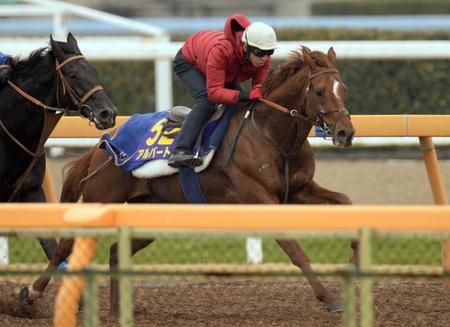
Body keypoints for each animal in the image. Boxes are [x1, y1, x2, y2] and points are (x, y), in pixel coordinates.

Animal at [24, 46, 356, 316]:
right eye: (319, 91)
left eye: (344, 89)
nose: (345, 133)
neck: (272, 135)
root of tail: (103, 144)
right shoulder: (261, 199)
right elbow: (296, 250)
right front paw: (330, 298)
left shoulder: (299, 191)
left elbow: (346, 202)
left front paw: (353, 259)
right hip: (100, 196)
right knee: (65, 245)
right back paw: (31, 292)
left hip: (153, 210)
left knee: (116, 251)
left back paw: (119, 311)